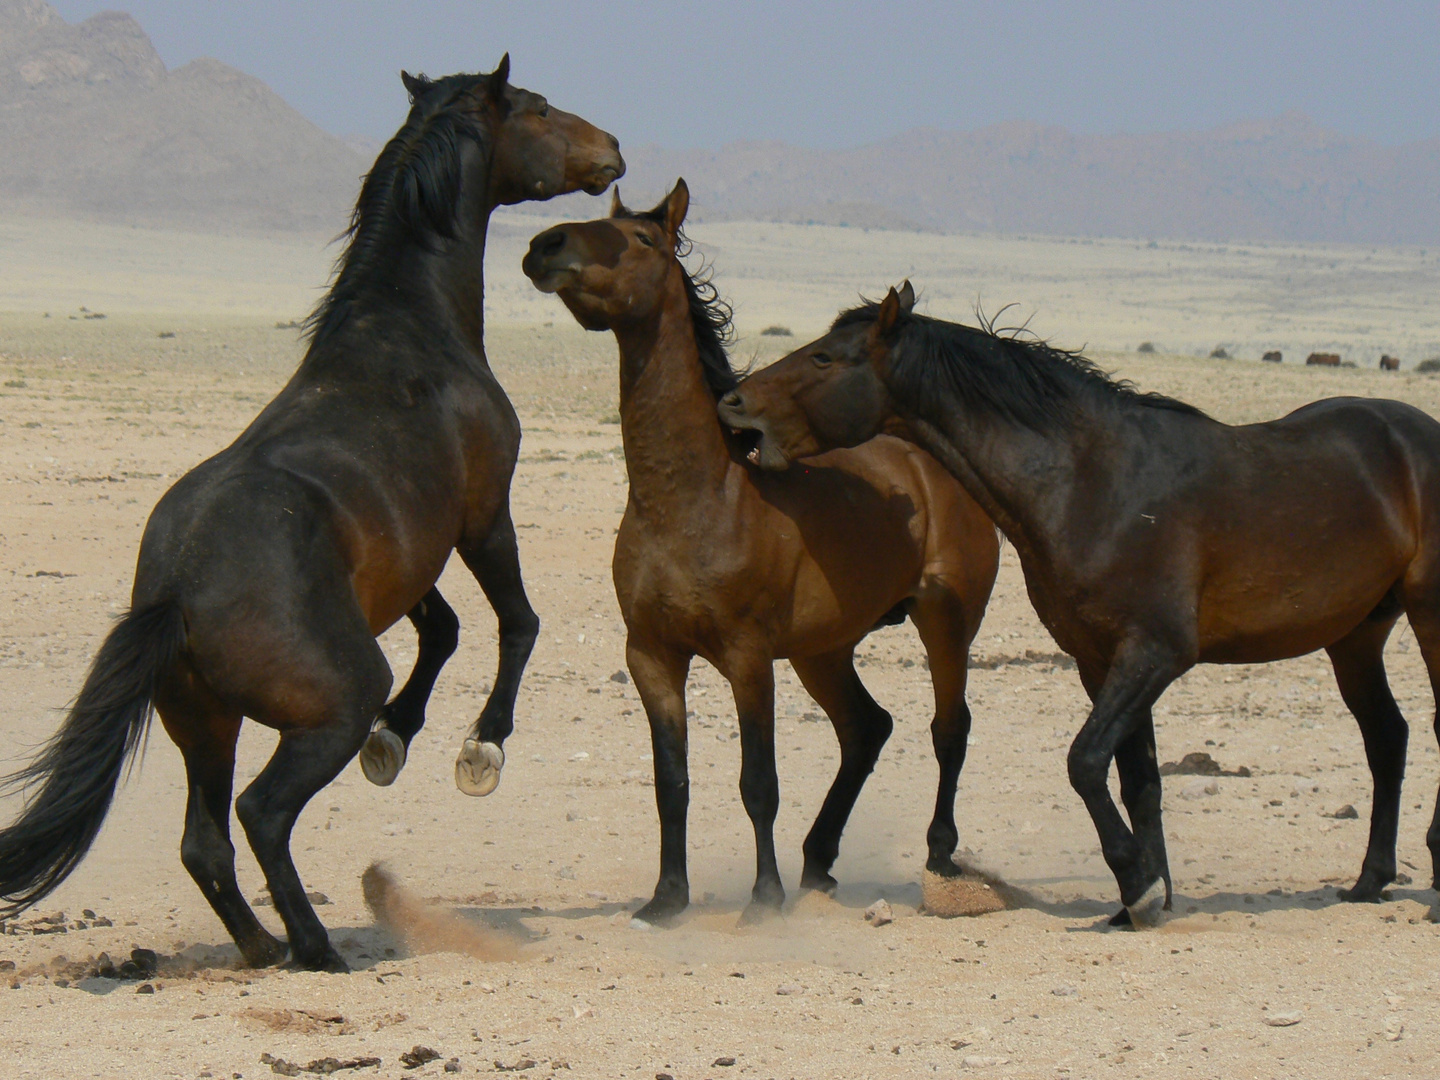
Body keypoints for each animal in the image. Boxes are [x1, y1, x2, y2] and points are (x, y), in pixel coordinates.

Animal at [0, 59, 624, 973]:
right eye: (538, 109)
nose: (610, 149)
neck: (410, 329)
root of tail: (174, 593)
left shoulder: (405, 558)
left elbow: (444, 630)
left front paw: (396, 742)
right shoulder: (481, 518)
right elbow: (516, 622)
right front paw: (481, 748)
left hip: (206, 728)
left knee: (205, 842)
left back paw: (264, 945)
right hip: (331, 703)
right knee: (262, 815)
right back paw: (317, 947)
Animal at [524, 184, 996, 921]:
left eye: (643, 240)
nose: (547, 246)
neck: (690, 502)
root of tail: (936, 463)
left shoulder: (747, 659)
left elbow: (758, 783)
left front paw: (763, 899)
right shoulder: (651, 656)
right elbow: (672, 782)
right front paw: (667, 899)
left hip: (945, 624)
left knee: (949, 728)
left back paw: (939, 859)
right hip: (823, 650)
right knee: (866, 728)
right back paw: (819, 863)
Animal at [720, 285, 1440, 933]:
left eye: (824, 358)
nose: (733, 404)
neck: (1092, 482)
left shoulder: (1155, 654)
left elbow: (1086, 760)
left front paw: (1138, 885)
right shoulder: (1100, 659)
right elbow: (1136, 778)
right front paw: (1144, 897)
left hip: (1427, 616)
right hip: (1356, 635)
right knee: (1387, 736)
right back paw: (1369, 881)